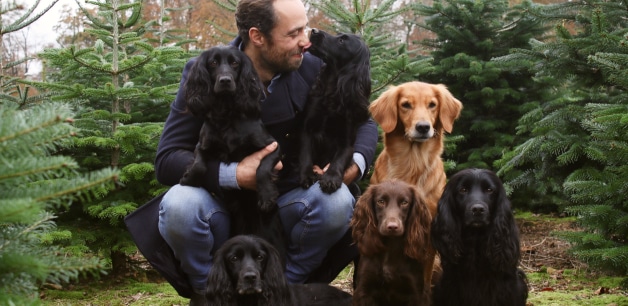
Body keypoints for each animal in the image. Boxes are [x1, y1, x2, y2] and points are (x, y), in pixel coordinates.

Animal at [177, 46, 284, 253]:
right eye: (213, 63)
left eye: (235, 63)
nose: (225, 80)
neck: (226, 114)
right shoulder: (202, 146)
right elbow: (199, 164)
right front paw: (190, 178)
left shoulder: (272, 146)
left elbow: (262, 168)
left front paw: (266, 195)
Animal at [298, 28, 370, 192]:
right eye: (338, 35)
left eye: (342, 41)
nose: (314, 31)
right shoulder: (308, 129)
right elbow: (305, 153)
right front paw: (307, 175)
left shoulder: (347, 142)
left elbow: (339, 158)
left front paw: (331, 178)